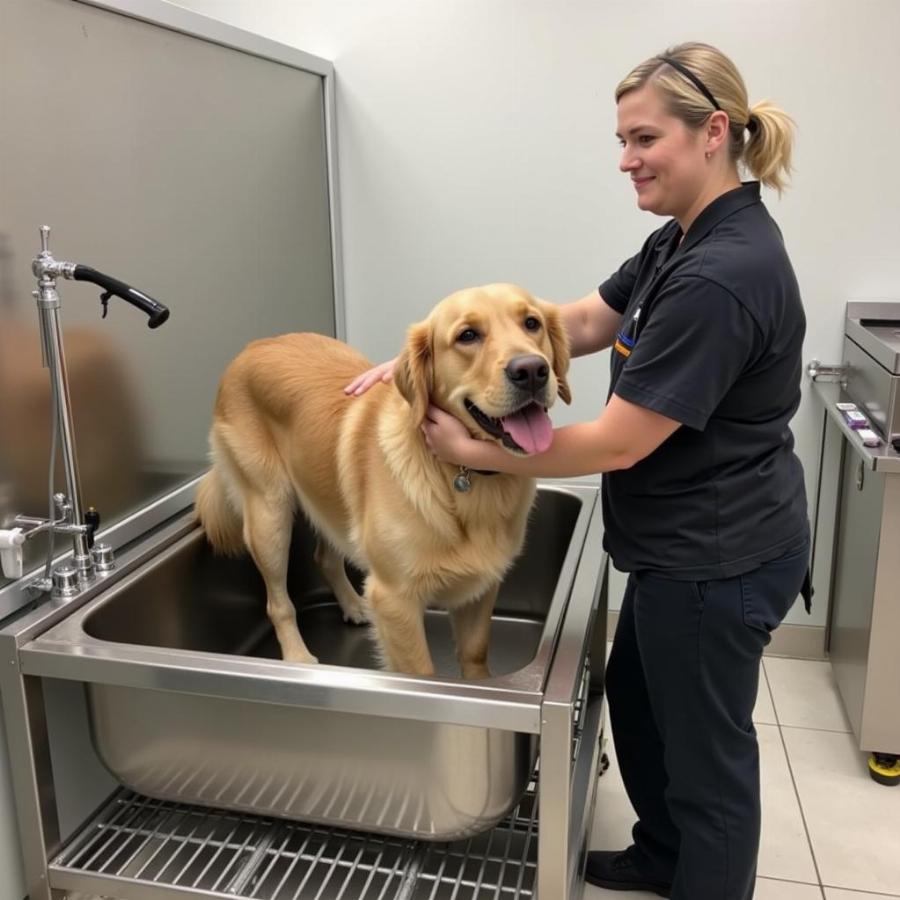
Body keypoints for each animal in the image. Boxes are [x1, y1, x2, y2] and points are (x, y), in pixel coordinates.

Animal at [195, 284, 568, 680]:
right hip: (269, 514)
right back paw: (297, 657)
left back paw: (353, 605)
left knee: (325, 557)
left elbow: (475, 654)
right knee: (278, 602)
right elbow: (422, 674)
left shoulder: (481, 588)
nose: (532, 370)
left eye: (532, 323)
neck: (457, 472)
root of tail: (251, 347)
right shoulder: (395, 600)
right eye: (467, 335)